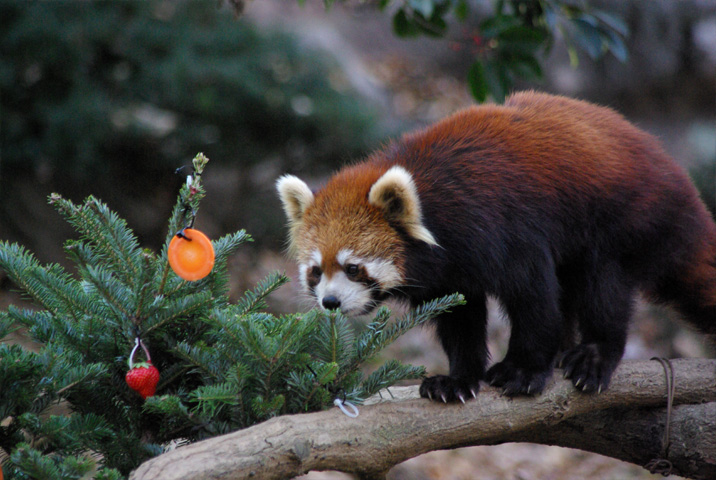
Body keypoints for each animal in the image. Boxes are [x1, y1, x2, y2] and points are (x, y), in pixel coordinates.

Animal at [276, 90, 716, 402]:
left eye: (353, 267)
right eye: (316, 271)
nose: (330, 302)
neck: (437, 209)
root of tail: (676, 175)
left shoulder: (503, 226)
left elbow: (533, 298)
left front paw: (524, 369)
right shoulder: (451, 274)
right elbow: (460, 316)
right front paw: (457, 379)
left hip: (625, 218)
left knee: (602, 284)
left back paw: (595, 352)